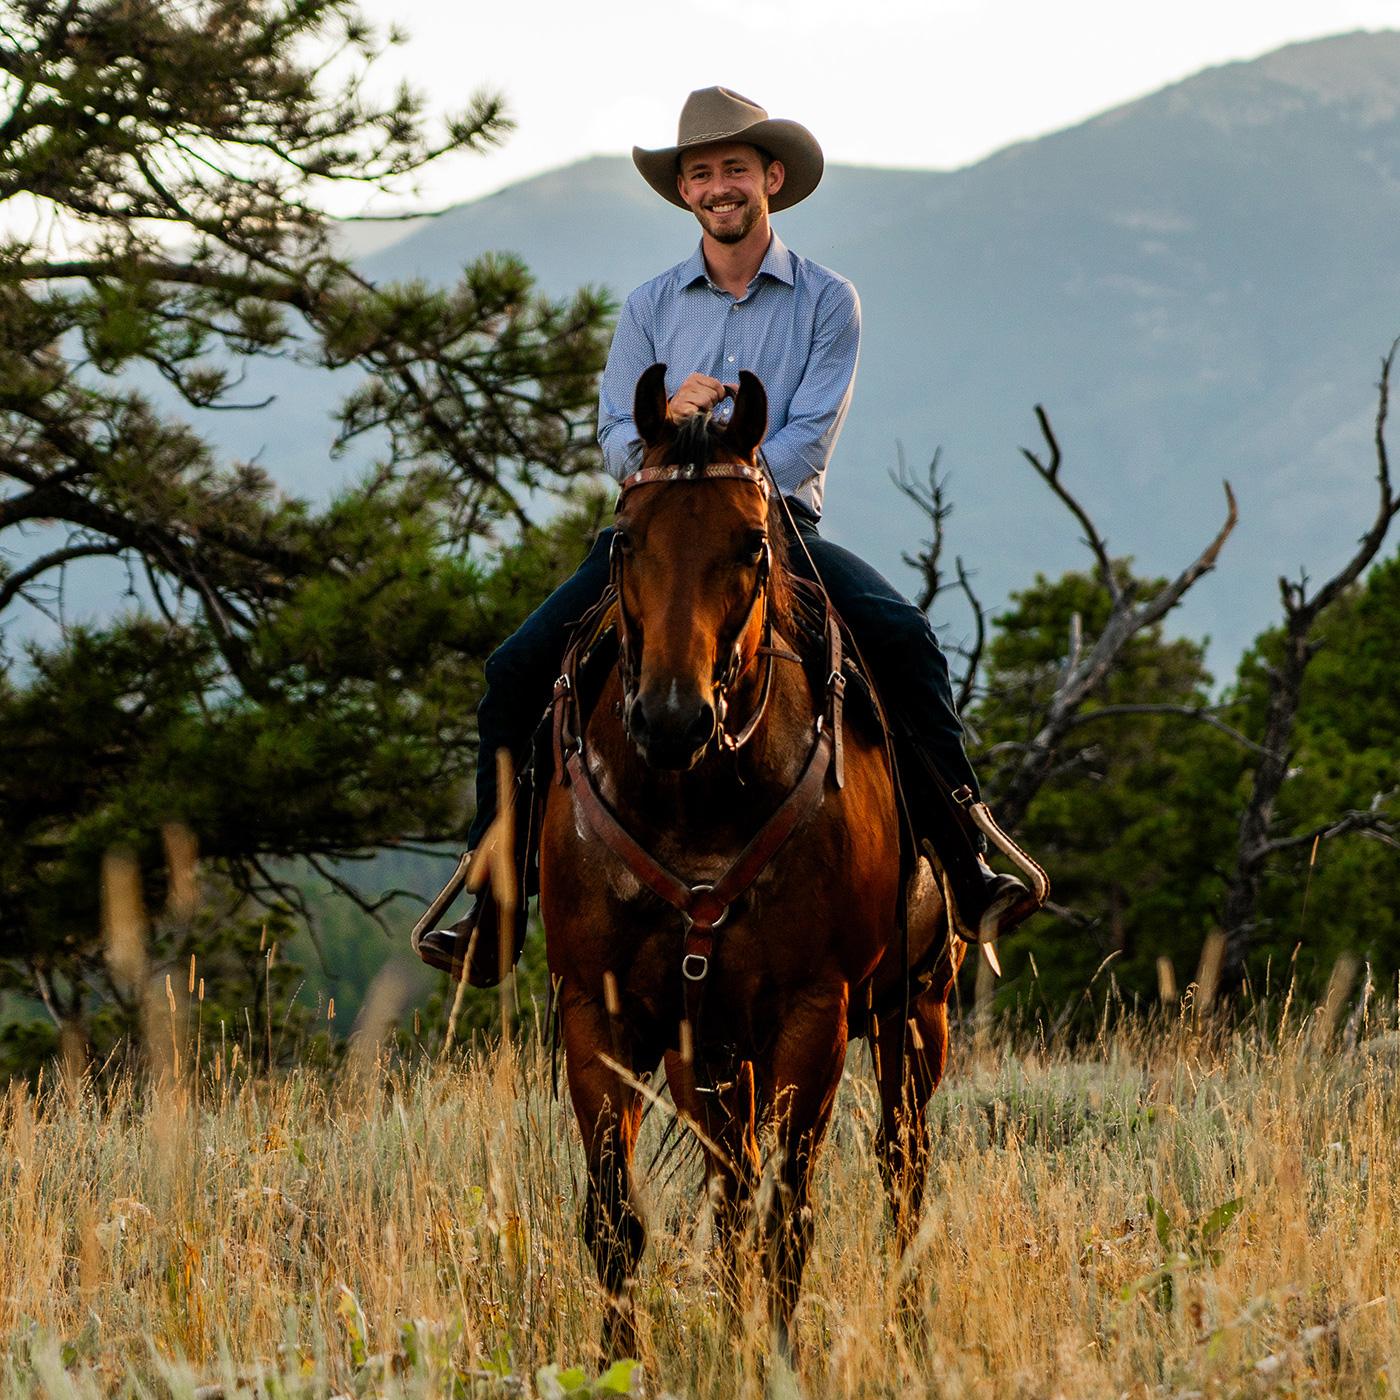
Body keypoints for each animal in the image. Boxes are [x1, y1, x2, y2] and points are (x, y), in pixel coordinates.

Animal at [540, 358, 968, 1355]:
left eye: (750, 545)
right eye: (626, 541)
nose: (671, 717)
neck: (693, 800)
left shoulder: (815, 1015)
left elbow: (791, 1219)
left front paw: (777, 1356)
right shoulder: (600, 1014)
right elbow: (616, 1222)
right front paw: (623, 1362)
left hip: (913, 1013)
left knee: (900, 1168)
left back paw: (908, 1328)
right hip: (710, 1051)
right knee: (731, 1181)